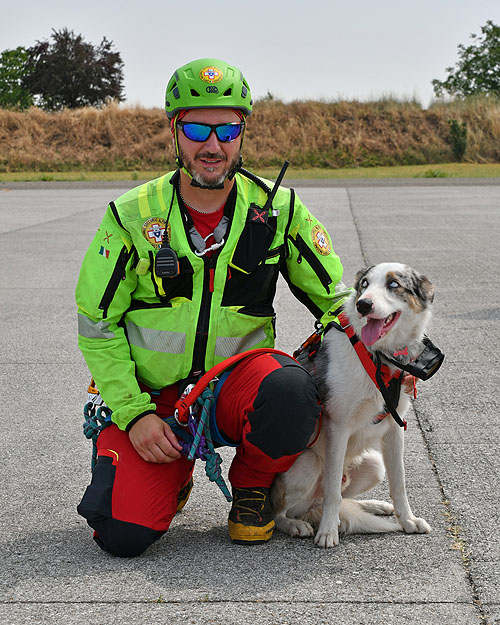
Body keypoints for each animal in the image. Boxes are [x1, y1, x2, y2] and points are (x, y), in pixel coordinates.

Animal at [272, 262, 440, 544]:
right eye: (364, 284)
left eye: (393, 284)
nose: (363, 305)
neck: (377, 356)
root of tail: (309, 507)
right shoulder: (337, 427)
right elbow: (333, 493)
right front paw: (328, 532)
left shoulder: (395, 429)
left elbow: (399, 483)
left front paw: (407, 520)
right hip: (307, 465)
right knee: (278, 512)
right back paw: (296, 524)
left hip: (374, 465)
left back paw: (376, 506)